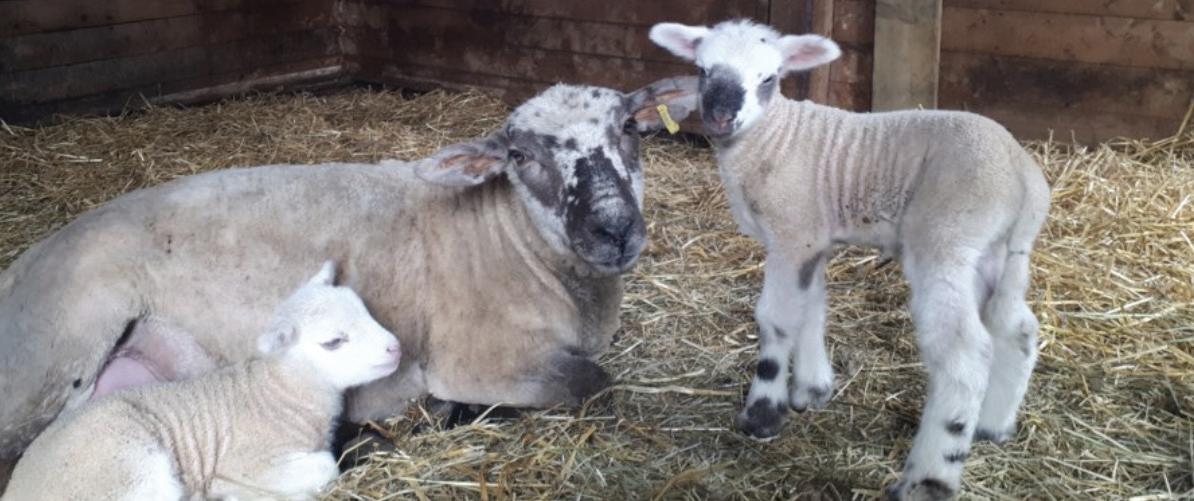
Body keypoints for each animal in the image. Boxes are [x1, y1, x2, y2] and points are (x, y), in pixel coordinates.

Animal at [3, 261, 400, 501]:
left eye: (365, 310)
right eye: (333, 342)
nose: (396, 348)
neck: (280, 392)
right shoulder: (250, 459)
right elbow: (325, 464)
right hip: (130, 470)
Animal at [650, 19, 1050, 500]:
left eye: (769, 78)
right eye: (703, 70)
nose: (720, 116)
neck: (772, 138)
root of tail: (1023, 174)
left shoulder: (792, 234)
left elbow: (776, 320)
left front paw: (763, 413)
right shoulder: (812, 238)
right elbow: (811, 311)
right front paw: (812, 390)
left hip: (946, 241)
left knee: (964, 355)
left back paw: (929, 476)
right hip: (1002, 253)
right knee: (1018, 328)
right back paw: (993, 425)